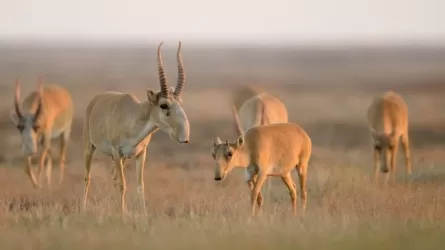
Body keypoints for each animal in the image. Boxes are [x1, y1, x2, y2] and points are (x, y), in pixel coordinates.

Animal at [82, 41, 190, 213]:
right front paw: (122, 214)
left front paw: (143, 215)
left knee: (113, 176)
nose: (184, 137)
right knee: (88, 177)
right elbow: (123, 184)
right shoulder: (117, 153)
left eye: (180, 102)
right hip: (90, 148)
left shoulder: (140, 154)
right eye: (163, 105)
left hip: (124, 158)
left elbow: (140, 186)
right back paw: (83, 209)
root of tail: (95, 100)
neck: (134, 117)